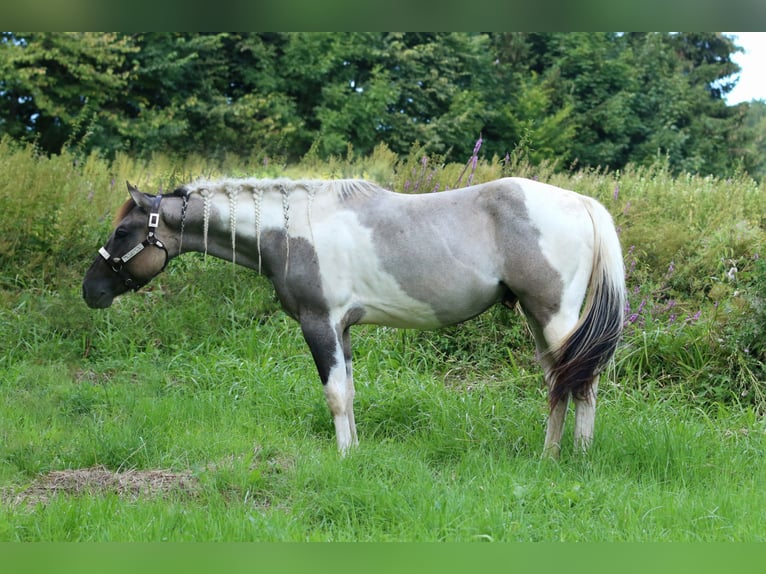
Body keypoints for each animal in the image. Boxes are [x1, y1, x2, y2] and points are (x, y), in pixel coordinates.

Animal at [82, 176, 624, 460]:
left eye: (124, 230)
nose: (91, 291)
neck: (291, 229)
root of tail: (581, 202)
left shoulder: (319, 323)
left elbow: (335, 395)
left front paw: (344, 457)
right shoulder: (341, 329)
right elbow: (351, 392)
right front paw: (357, 451)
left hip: (556, 316)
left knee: (582, 383)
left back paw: (576, 456)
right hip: (539, 319)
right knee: (559, 382)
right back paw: (549, 453)